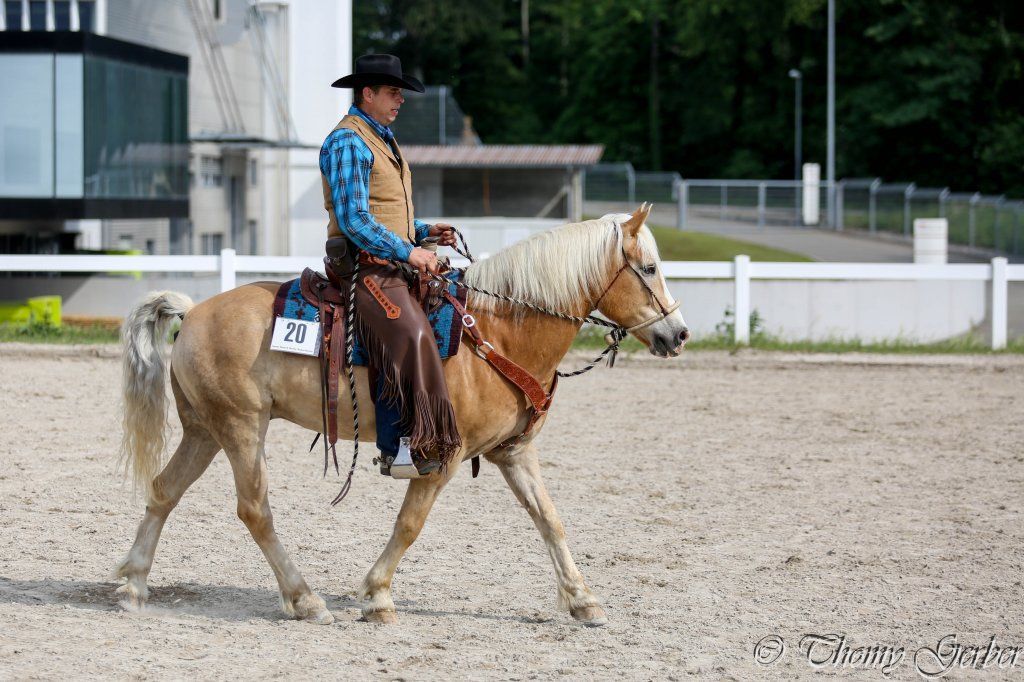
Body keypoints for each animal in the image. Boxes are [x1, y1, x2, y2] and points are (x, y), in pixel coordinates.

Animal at [114, 204, 689, 626]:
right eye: (651, 269)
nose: (678, 334)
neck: (496, 332)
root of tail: (193, 313)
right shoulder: (442, 457)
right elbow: (410, 524)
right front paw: (377, 595)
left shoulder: (514, 453)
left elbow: (550, 520)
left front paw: (582, 599)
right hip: (241, 428)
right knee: (255, 509)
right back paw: (304, 599)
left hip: (204, 430)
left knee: (164, 490)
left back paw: (134, 583)